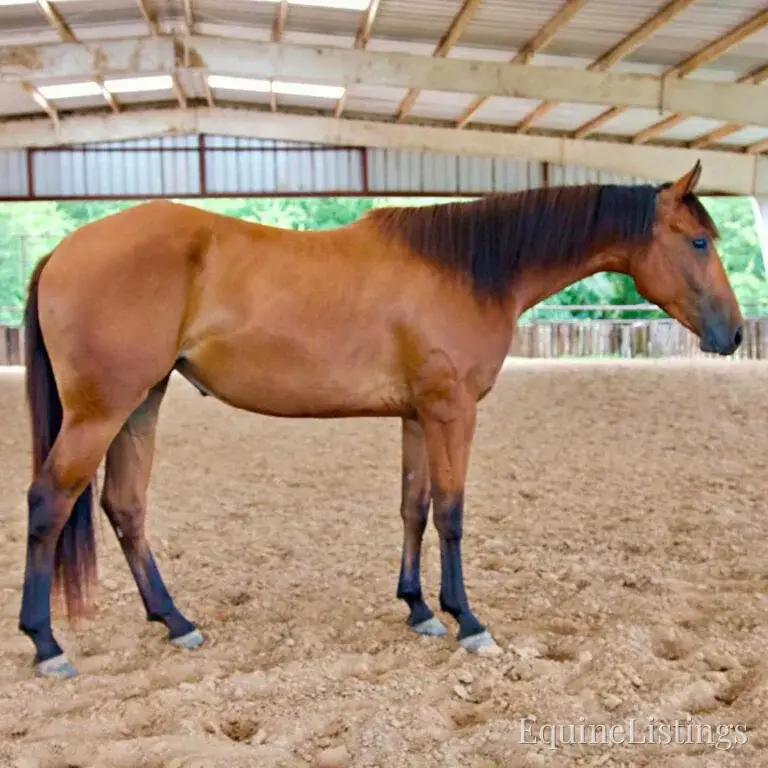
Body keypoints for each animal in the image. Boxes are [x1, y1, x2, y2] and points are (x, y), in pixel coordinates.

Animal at [18, 160, 743, 679]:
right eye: (699, 240)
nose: (734, 333)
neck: (471, 267)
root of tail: (62, 253)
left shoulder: (419, 415)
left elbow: (413, 507)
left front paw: (419, 608)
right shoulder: (451, 411)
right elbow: (451, 512)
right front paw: (467, 620)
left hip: (141, 402)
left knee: (125, 505)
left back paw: (174, 620)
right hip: (102, 411)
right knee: (49, 503)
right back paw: (48, 644)